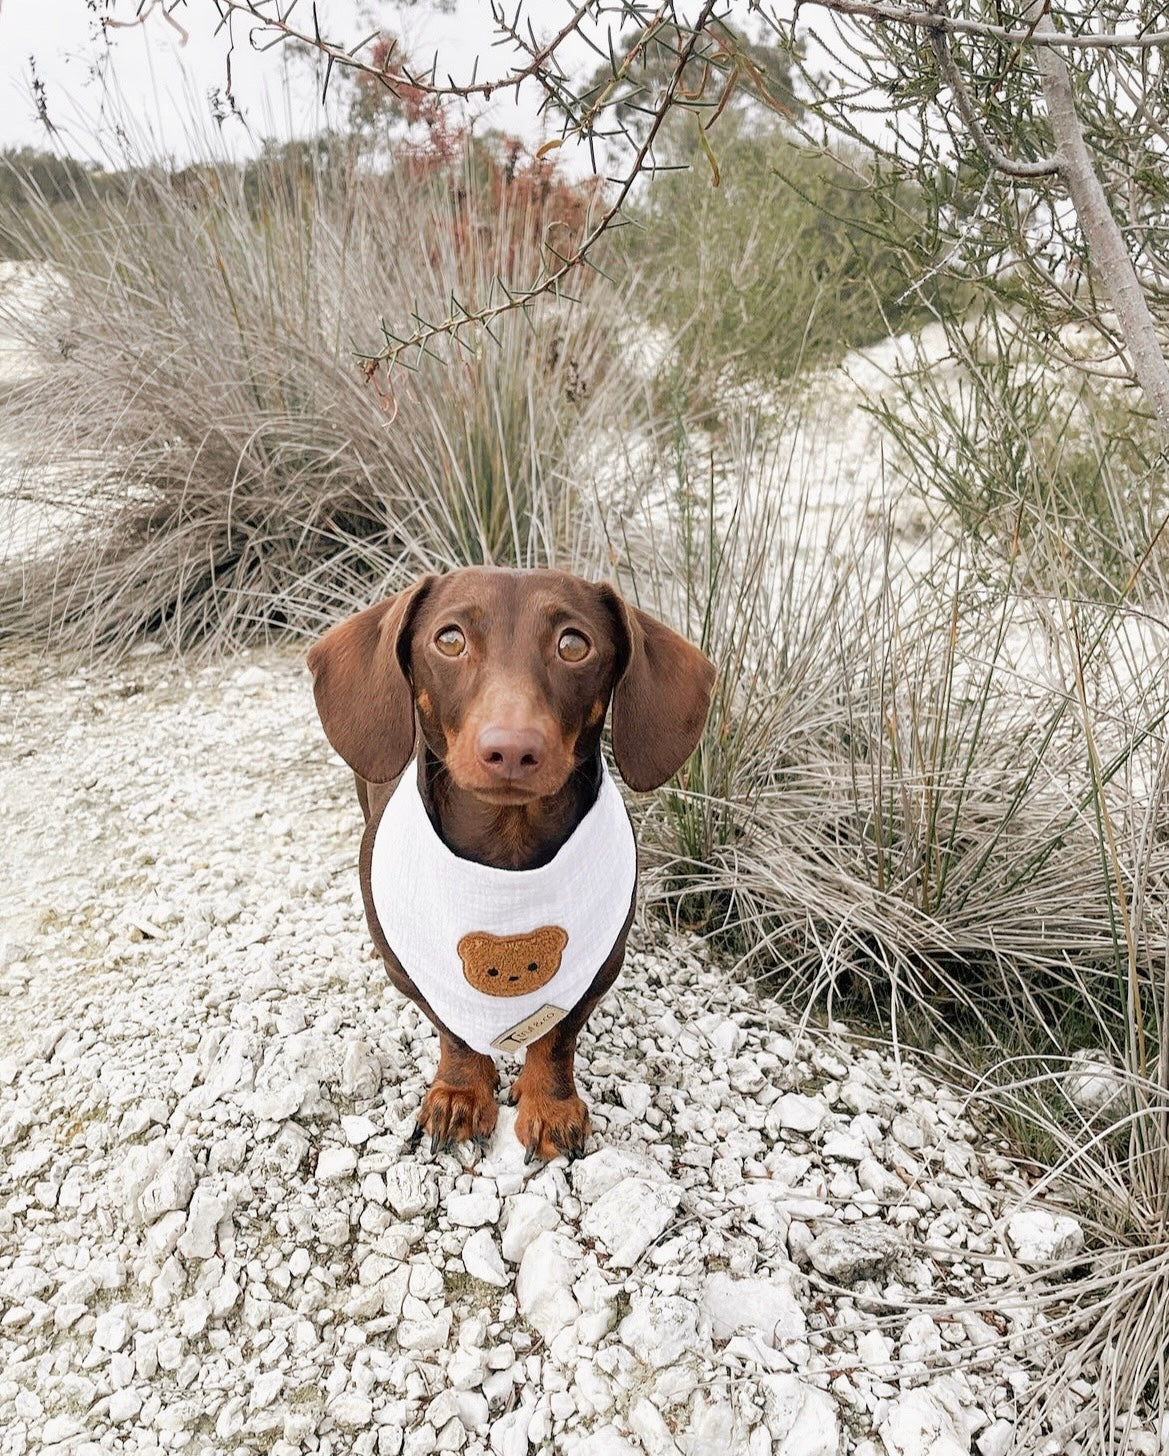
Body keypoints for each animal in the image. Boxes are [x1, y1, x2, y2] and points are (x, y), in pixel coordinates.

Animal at [308, 564, 713, 1158]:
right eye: (450, 639)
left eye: (574, 644)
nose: (513, 749)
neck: (508, 865)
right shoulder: (415, 974)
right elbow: (455, 1033)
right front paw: (460, 1095)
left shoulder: (598, 969)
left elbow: (557, 1038)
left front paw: (550, 1106)